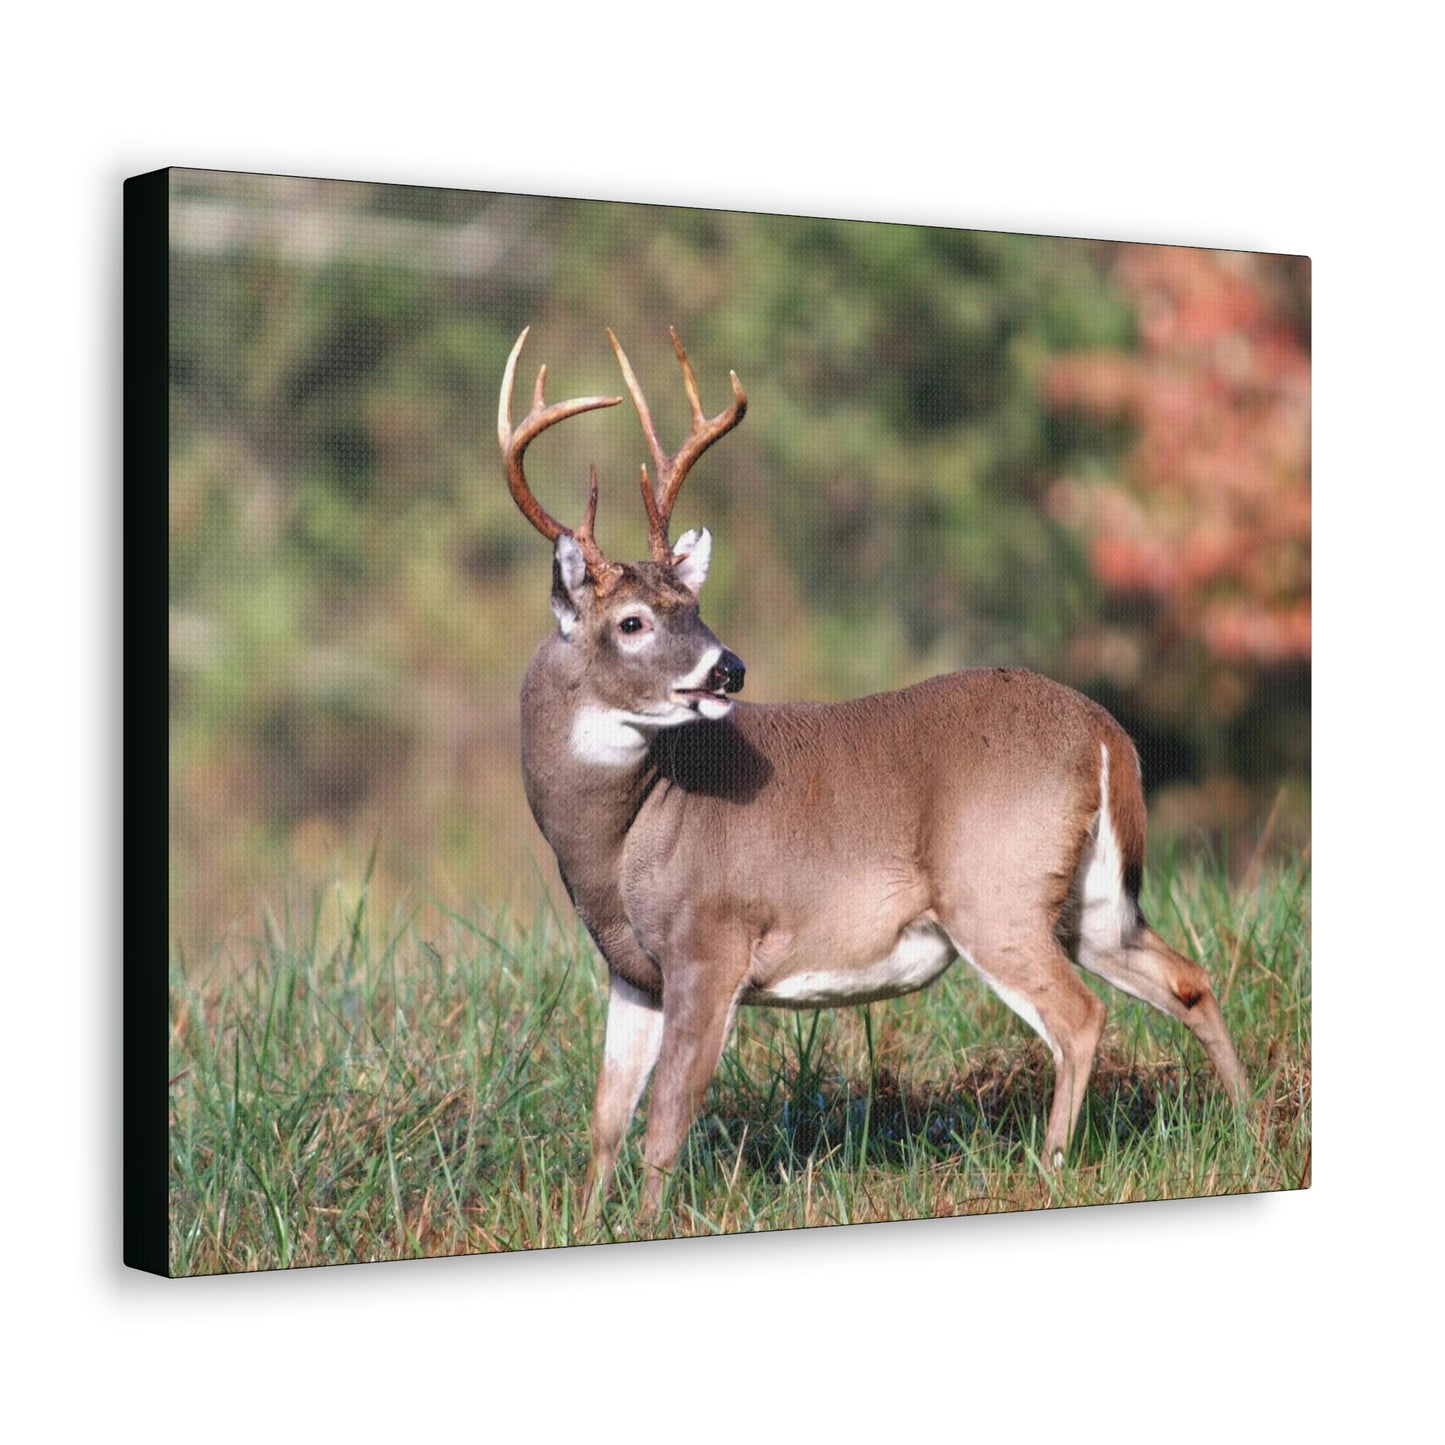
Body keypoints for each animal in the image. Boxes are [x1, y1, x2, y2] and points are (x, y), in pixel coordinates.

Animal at [498, 325, 1247, 1220]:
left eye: (696, 606)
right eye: (635, 621)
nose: (728, 668)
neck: (619, 840)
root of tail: (1107, 737)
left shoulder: (711, 942)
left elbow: (663, 1124)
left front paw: (644, 1225)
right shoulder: (631, 970)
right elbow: (605, 1123)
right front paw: (582, 1223)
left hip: (991, 890)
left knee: (1080, 1016)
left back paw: (1052, 1166)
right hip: (1090, 899)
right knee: (1186, 980)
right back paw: (1249, 1122)